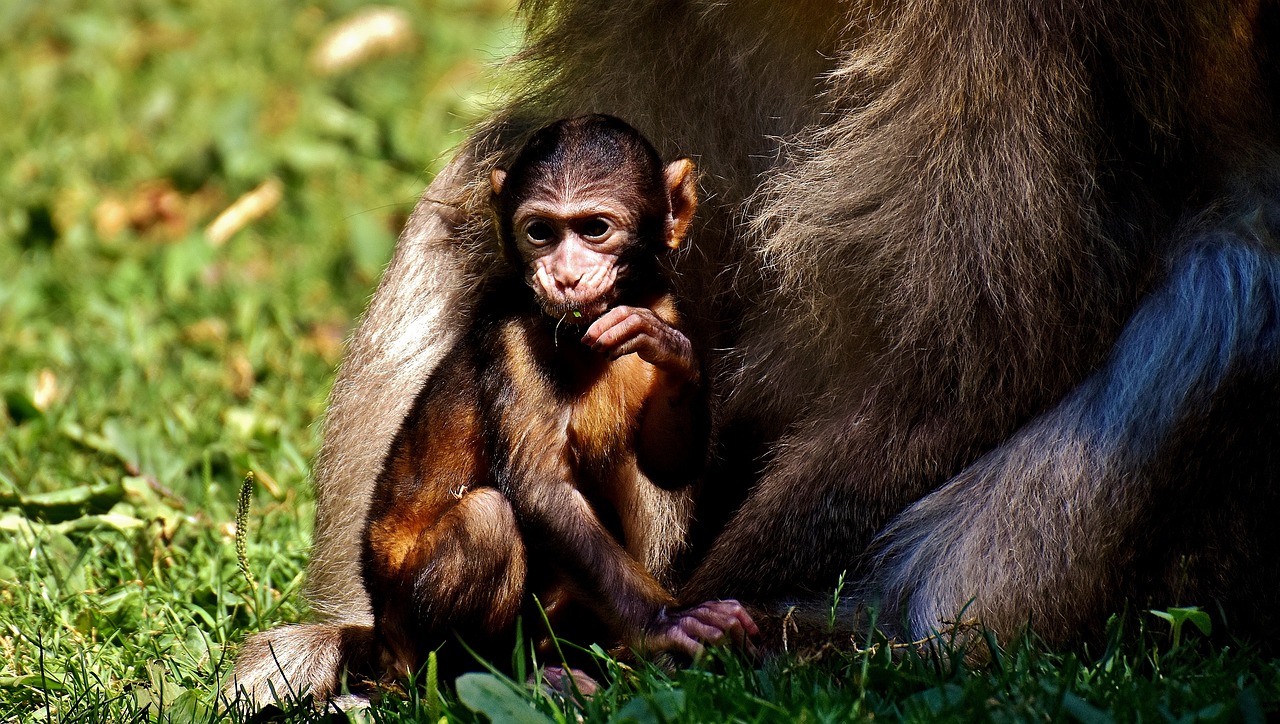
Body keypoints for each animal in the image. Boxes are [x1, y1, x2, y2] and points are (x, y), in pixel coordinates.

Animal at [363, 113, 757, 680]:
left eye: (594, 229)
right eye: (540, 233)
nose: (566, 275)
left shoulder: (663, 303)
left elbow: (666, 465)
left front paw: (673, 352)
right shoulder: (515, 341)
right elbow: (540, 490)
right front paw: (668, 620)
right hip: (407, 633)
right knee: (488, 521)